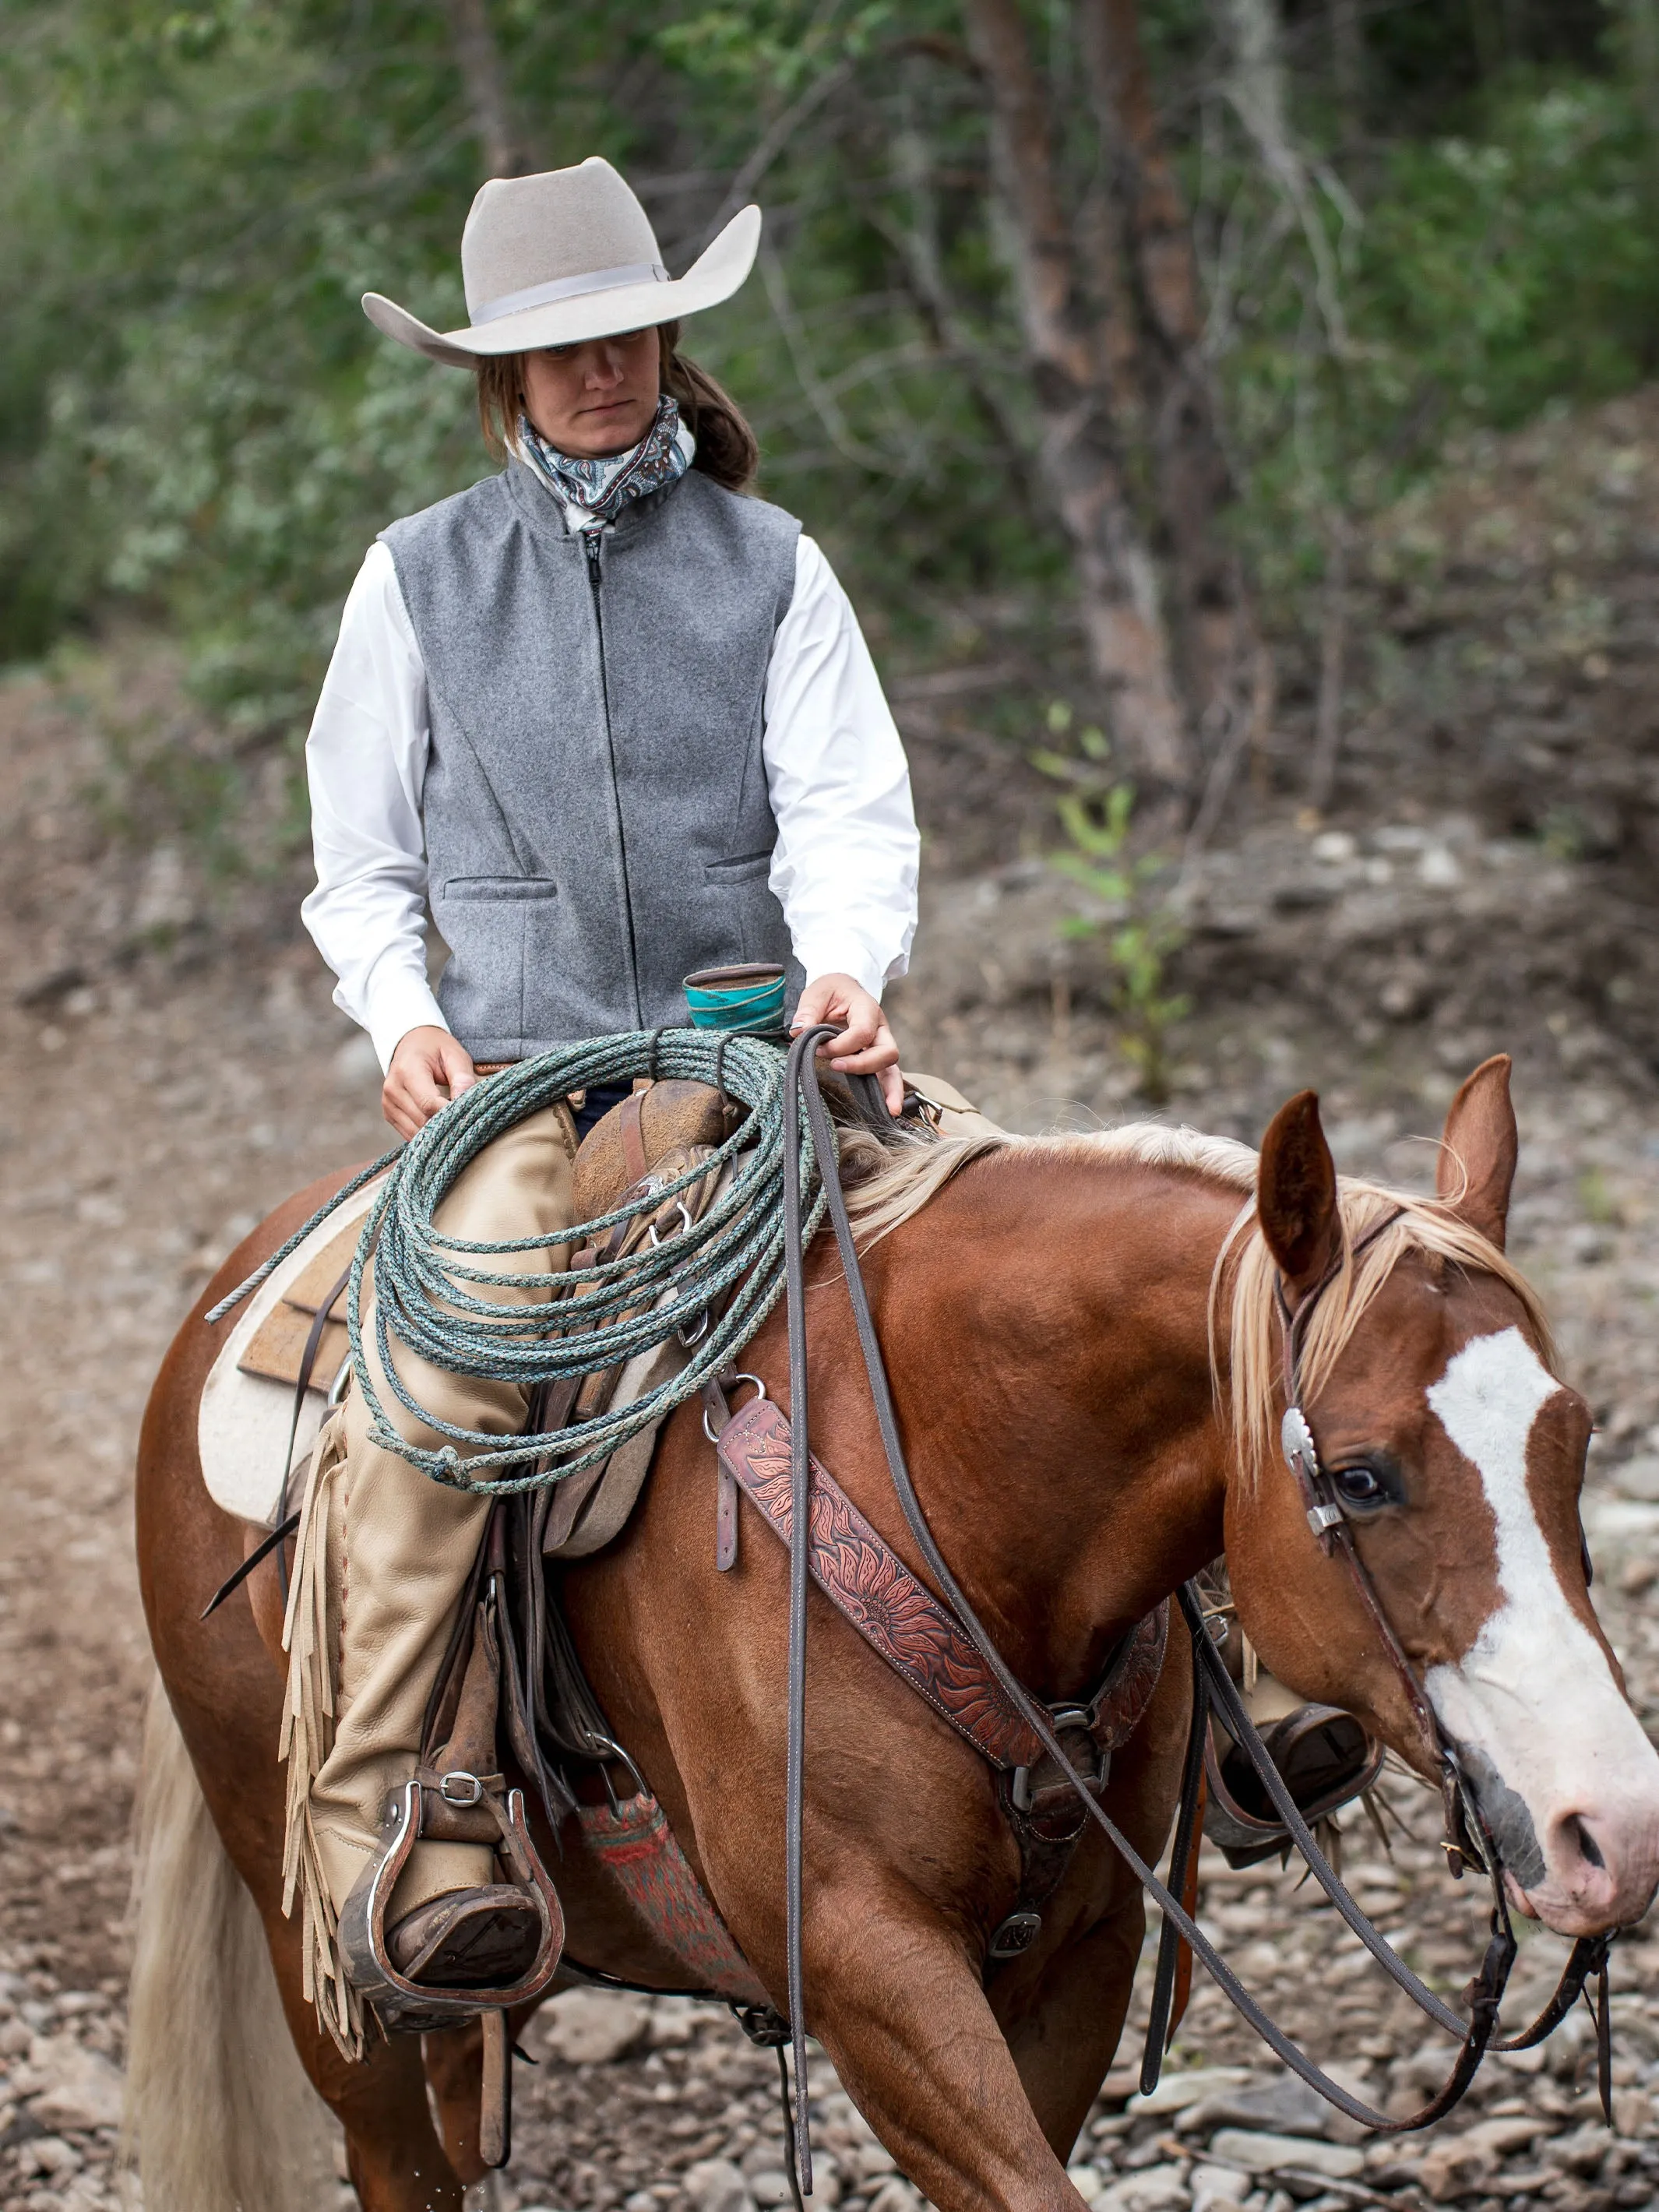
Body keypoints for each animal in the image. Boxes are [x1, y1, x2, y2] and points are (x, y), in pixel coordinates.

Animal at [126, 1057, 1659, 2212]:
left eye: (1575, 1441)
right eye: (1358, 1476)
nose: (1616, 1829)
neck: (947, 1499)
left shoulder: (1077, 1960)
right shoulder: (867, 1963)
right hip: (316, 1947)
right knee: (401, 2150)